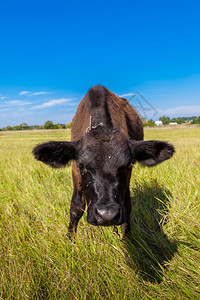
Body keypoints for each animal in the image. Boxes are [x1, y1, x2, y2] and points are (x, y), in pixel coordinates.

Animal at [32, 85, 174, 238]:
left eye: (128, 165)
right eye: (82, 166)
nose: (107, 215)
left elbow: (127, 206)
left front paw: (128, 238)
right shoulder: (75, 173)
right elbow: (76, 208)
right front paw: (70, 239)